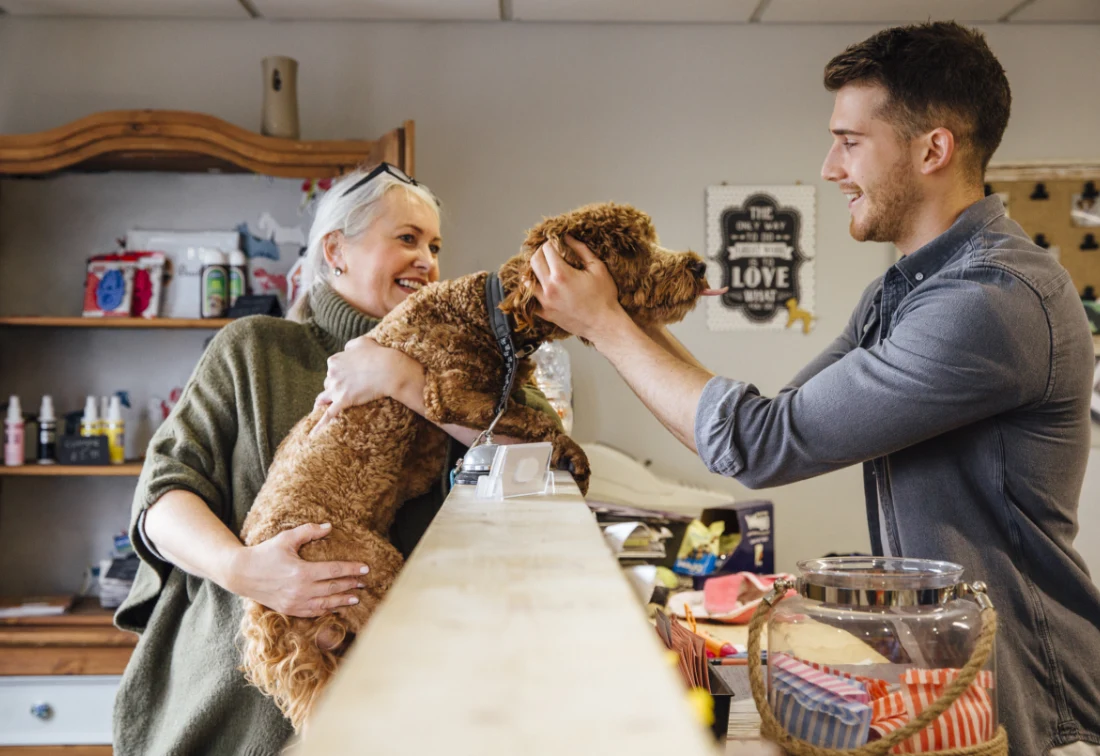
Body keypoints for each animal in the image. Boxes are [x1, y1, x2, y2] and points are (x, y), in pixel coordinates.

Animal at [239, 199, 717, 726]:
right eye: (631, 247)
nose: (698, 267)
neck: (492, 314)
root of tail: (265, 611)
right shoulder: (451, 392)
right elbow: (535, 417)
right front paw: (574, 454)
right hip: (367, 570)